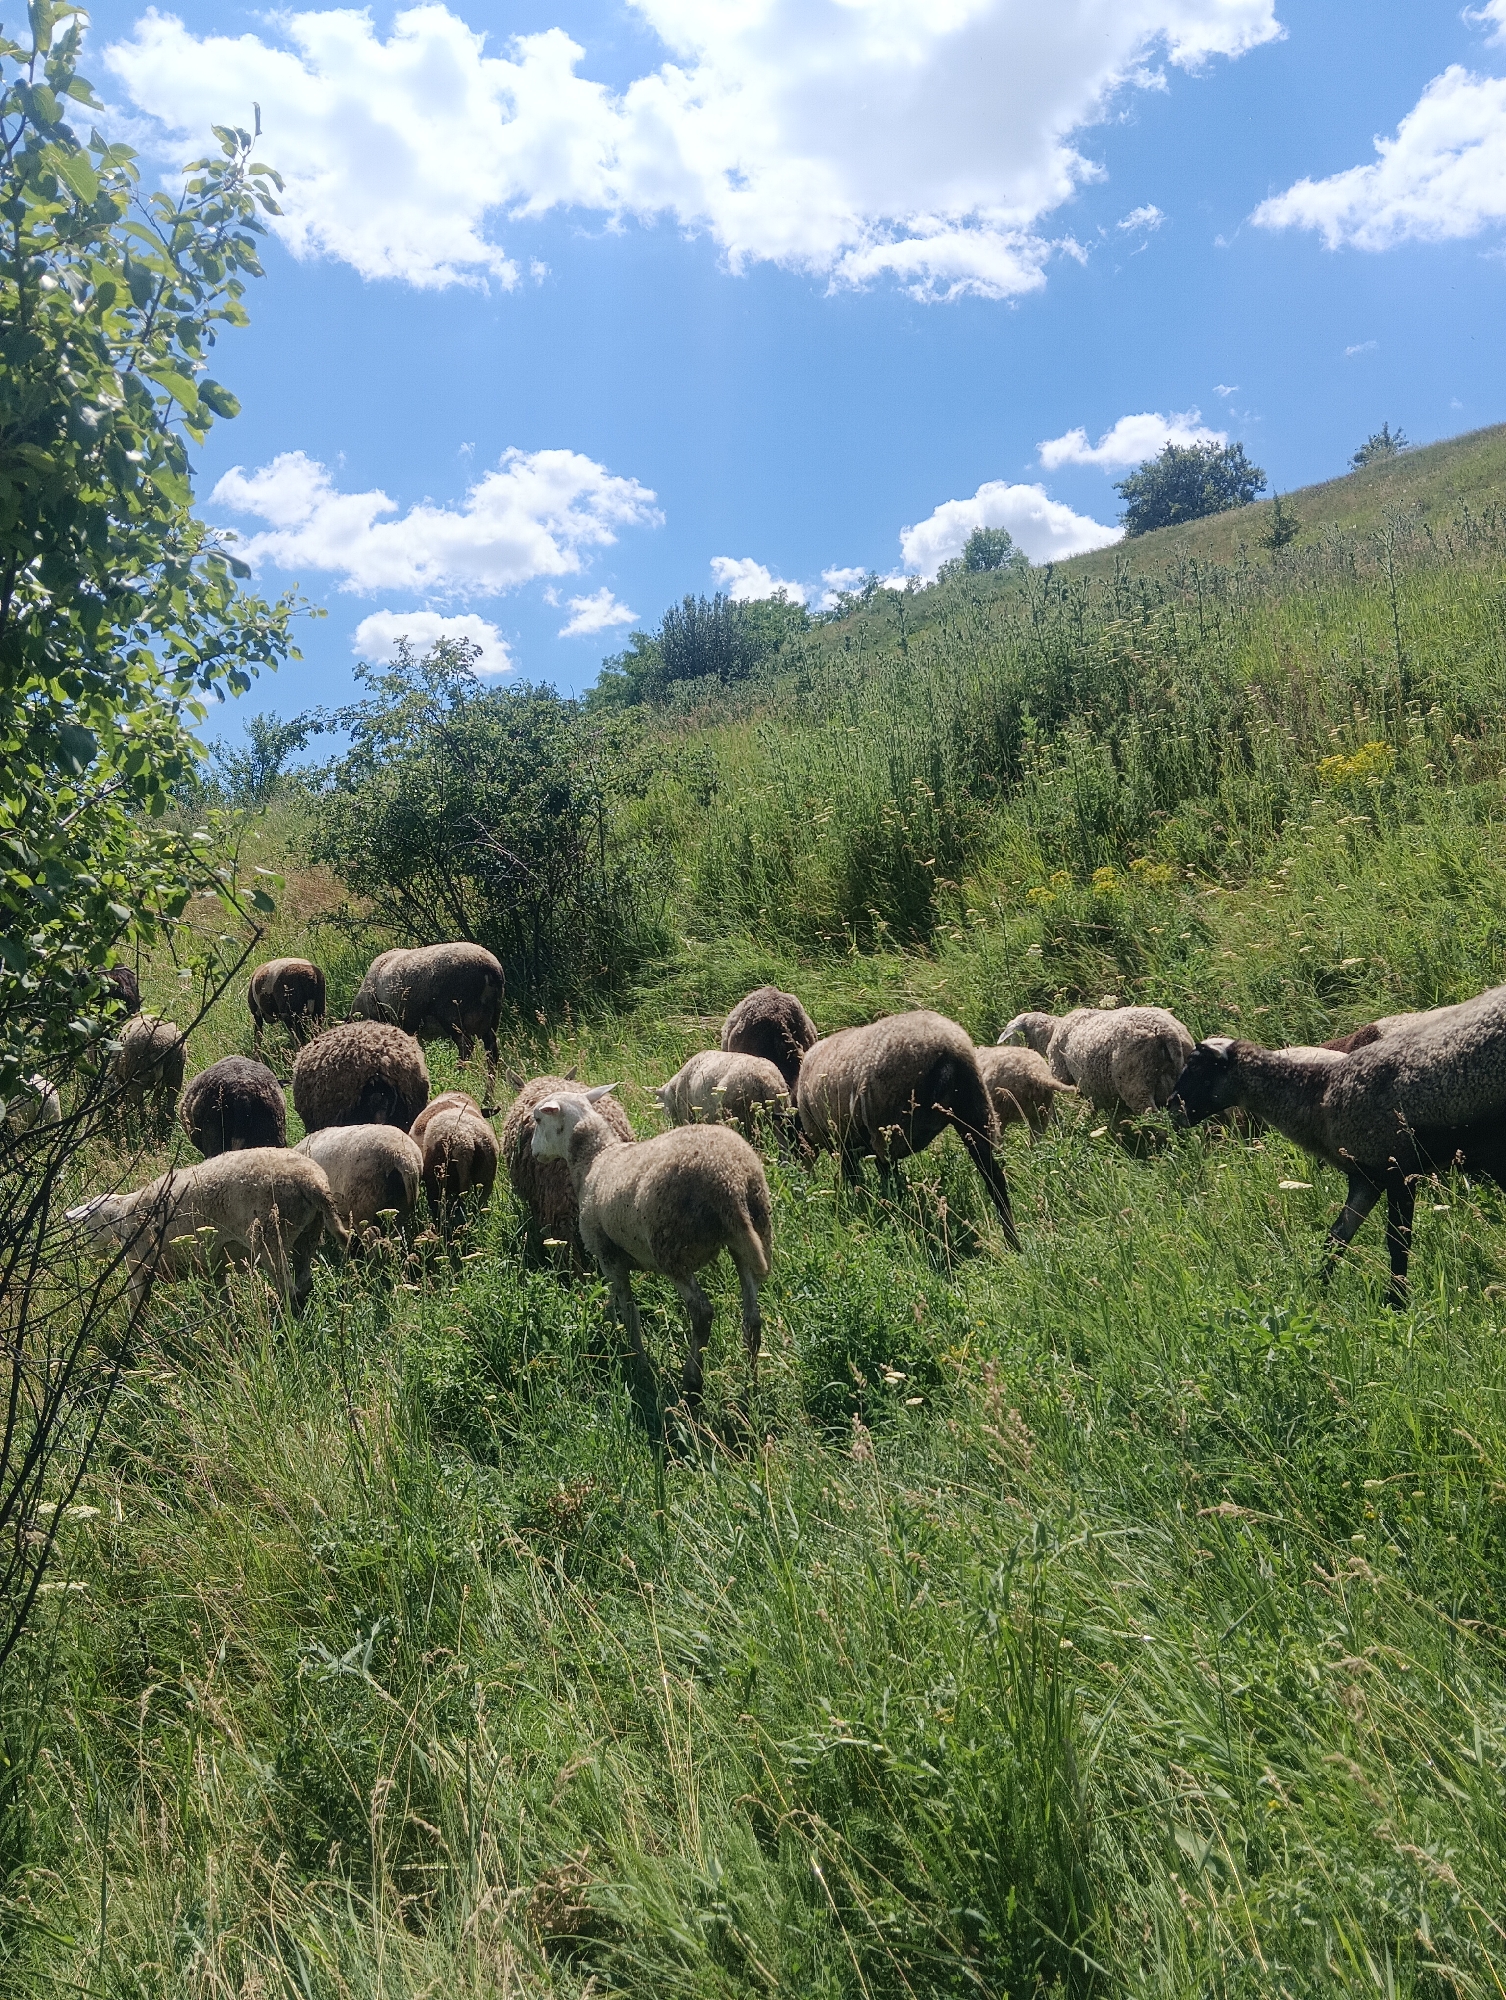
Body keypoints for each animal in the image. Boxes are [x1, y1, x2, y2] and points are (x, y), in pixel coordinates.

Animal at [65, 1148, 347, 1310]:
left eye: (87, 1224)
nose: (88, 1251)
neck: (123, 1216)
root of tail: (311, 1180)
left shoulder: (140, 1268)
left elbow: (136, 1307)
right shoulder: (216, 1267)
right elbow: (224, 1303)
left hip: (270, 1235)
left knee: (289, 1289)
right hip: (309, 1230)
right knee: (304, 1281)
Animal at [348, 943, 503, 1100]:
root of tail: (491, 969)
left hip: (452, 1015)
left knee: (466, 1046)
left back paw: (456, 1077)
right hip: (491, 1019)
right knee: (492, 1053)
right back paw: (487, 1098)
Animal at [531, 1085, 772, 1406]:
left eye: (537, 1120)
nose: (534, 1152)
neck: (594, 1159)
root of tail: (730, 1178)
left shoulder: (607, 1254)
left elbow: (629, 1310)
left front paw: (638, 1360)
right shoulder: (619, 1257)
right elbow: (614, 1299)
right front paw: (605, 1321)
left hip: (673, 1247)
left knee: (702, 1312)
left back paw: (692, 1383)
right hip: (749, 1236)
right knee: (753, 1317)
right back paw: (751, 1382)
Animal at [797, 1010, 1019, 1247]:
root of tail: (948, 1051)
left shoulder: (845, 1148)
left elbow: (859, 1181)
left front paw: (864, 1205)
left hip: (889, 1128)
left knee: (894, 1185)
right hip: (975, 1113)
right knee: (995, 1178)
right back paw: (1013, 1242)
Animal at [1169, 986, 1506, 1301]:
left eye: (1197, 1067)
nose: (1172, 1107)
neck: (1317, 1093)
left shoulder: (1397, 1166)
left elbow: (1398, 1241)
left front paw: (1396, 1302)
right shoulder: (1367, 1177)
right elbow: (1337, 1237)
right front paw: (1316, 1292)